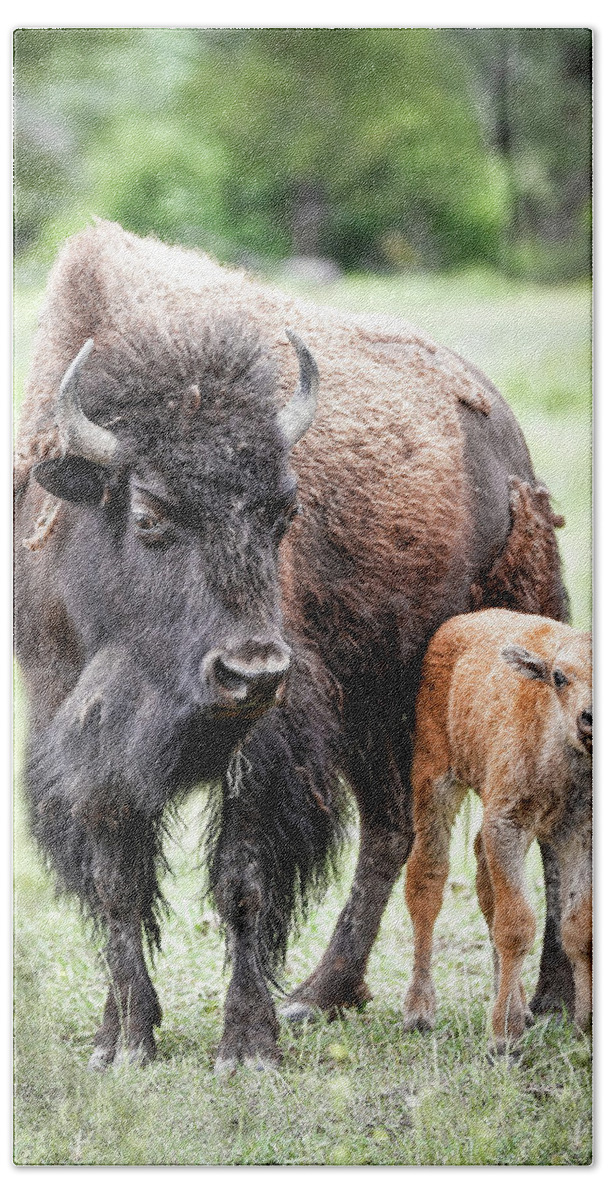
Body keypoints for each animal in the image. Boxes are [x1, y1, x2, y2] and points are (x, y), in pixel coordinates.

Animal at [405, 609, 590, 1051]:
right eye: (560, 676)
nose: (589, 719)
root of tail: (459, 624)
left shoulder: (580, 831)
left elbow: (579, 925)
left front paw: (587, 1024)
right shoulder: (507, 824)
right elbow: (517, 925)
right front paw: (503, 1039)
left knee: (484, 883)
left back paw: (519, 1005)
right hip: (435, 783)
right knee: (426, 878)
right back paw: (419, 1011)